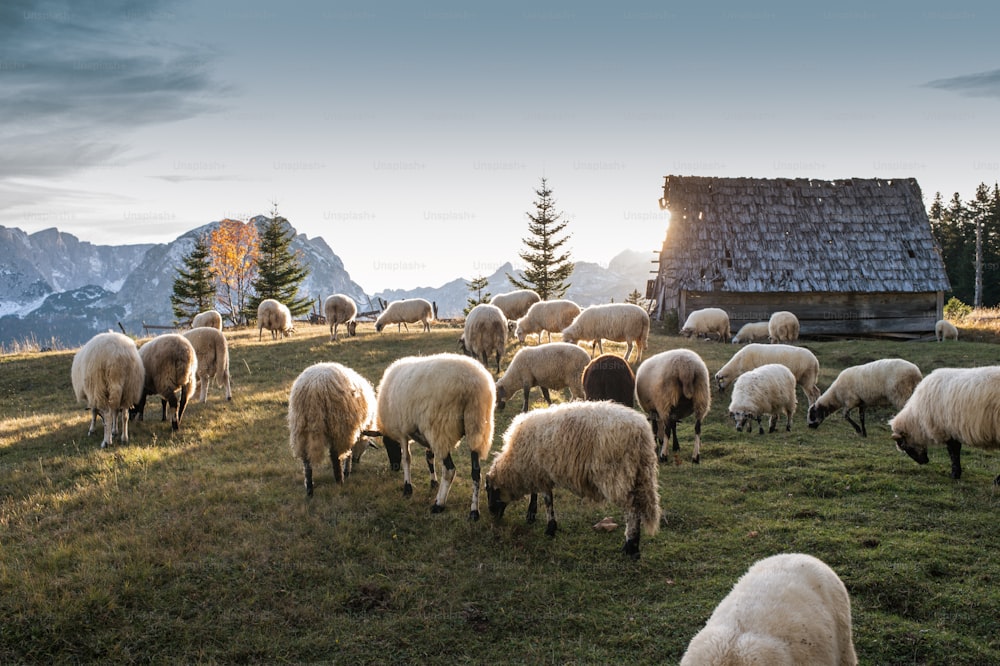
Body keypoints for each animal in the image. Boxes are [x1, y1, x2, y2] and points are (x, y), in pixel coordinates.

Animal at [292, 360, 380, 496]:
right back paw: (340, 481)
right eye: (366, 447)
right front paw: (347, 470)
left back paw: (310, 489)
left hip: (300, 427)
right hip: (337, 425)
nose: (357, 462)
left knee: (306, 460)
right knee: (334, 455)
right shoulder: (350, 430)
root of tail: (314, 387)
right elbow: (348, 452)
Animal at [376, 350, 496, 516]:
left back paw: (439, 504)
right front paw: (433, 482)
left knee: (450, 470)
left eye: (387, 445)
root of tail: (472, 384)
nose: (394, 468)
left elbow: (407, 458)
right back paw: (474, 511)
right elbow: (429, 457)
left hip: (441, 429)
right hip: (476, 426)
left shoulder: (402, 430)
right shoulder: (426, 433)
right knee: (476, 472)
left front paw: (407, 488)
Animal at [486, 396, 664, 556]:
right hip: (640, 474)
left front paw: (550, 528)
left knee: (632, 511)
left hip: (618, 475)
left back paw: (630, 546)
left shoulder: (540, 470)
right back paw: (634, 547)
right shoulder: (538, 470)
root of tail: (641, 432)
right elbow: (538, 495)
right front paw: (532, 515)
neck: (515, 464)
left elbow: (547, 500)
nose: (492, 515)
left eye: (490, 491)